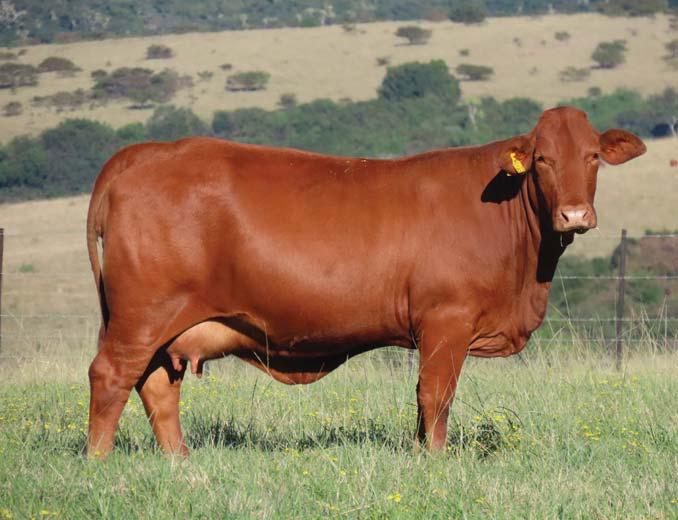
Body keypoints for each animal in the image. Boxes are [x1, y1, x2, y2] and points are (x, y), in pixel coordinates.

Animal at [85, 106, 646, 458]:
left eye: (593, 157)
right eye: (543, 159)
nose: (575, 214)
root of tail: (144, 153)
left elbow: (425, 400)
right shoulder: (446, 321)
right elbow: (435, 397)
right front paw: (434, 462)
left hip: (161, 326)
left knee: (157, 386)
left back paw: (180, 461)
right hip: (142, 316)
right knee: (111, 377)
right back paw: (98, 463)